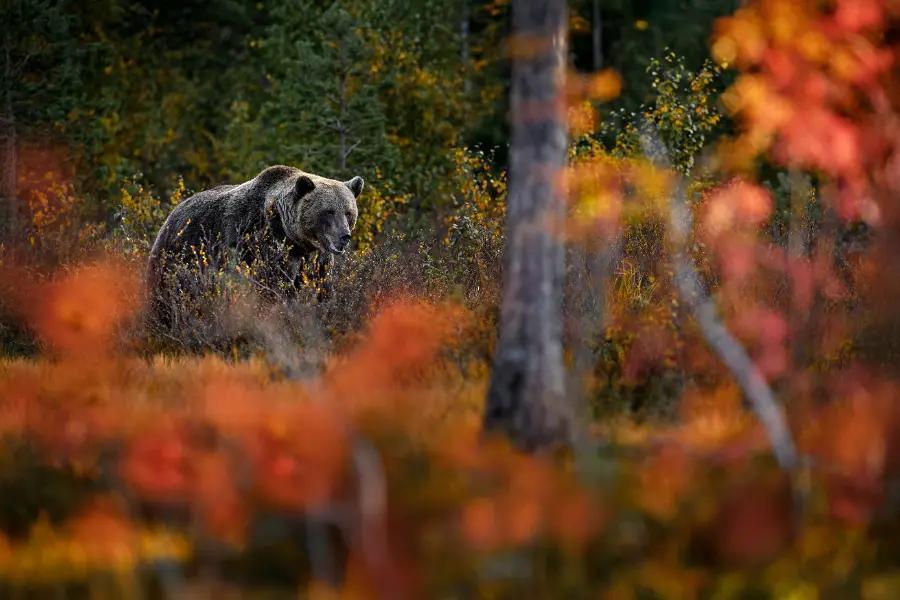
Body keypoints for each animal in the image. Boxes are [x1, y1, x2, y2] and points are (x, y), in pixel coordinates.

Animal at [147, 165, 363, 325]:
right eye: (328, 211)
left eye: (348, 212)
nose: (344, 236)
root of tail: (173, 211)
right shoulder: (256, 241)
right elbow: (271, 287)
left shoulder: (317, 259)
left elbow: (321, 288)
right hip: (176, 255)